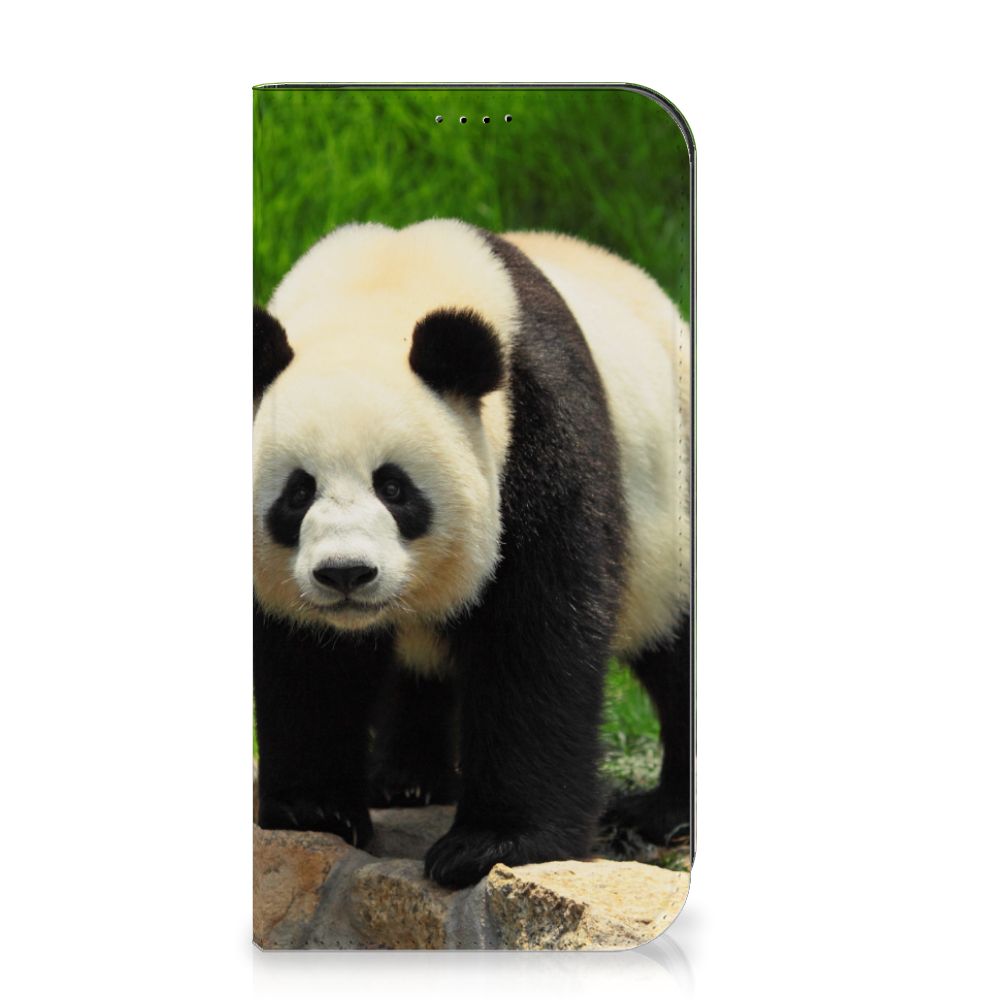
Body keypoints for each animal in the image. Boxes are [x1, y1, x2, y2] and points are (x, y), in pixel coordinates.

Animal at [253, 219, 691, 889]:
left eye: (394, 487)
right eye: (298, 493)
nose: (346, 574)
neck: (379, 290)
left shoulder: (538, 432)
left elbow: (535, 636)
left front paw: (491, 845)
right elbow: (305, 657)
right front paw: (314, 809)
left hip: (673, 515)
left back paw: (662, 813)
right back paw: (406, 780)